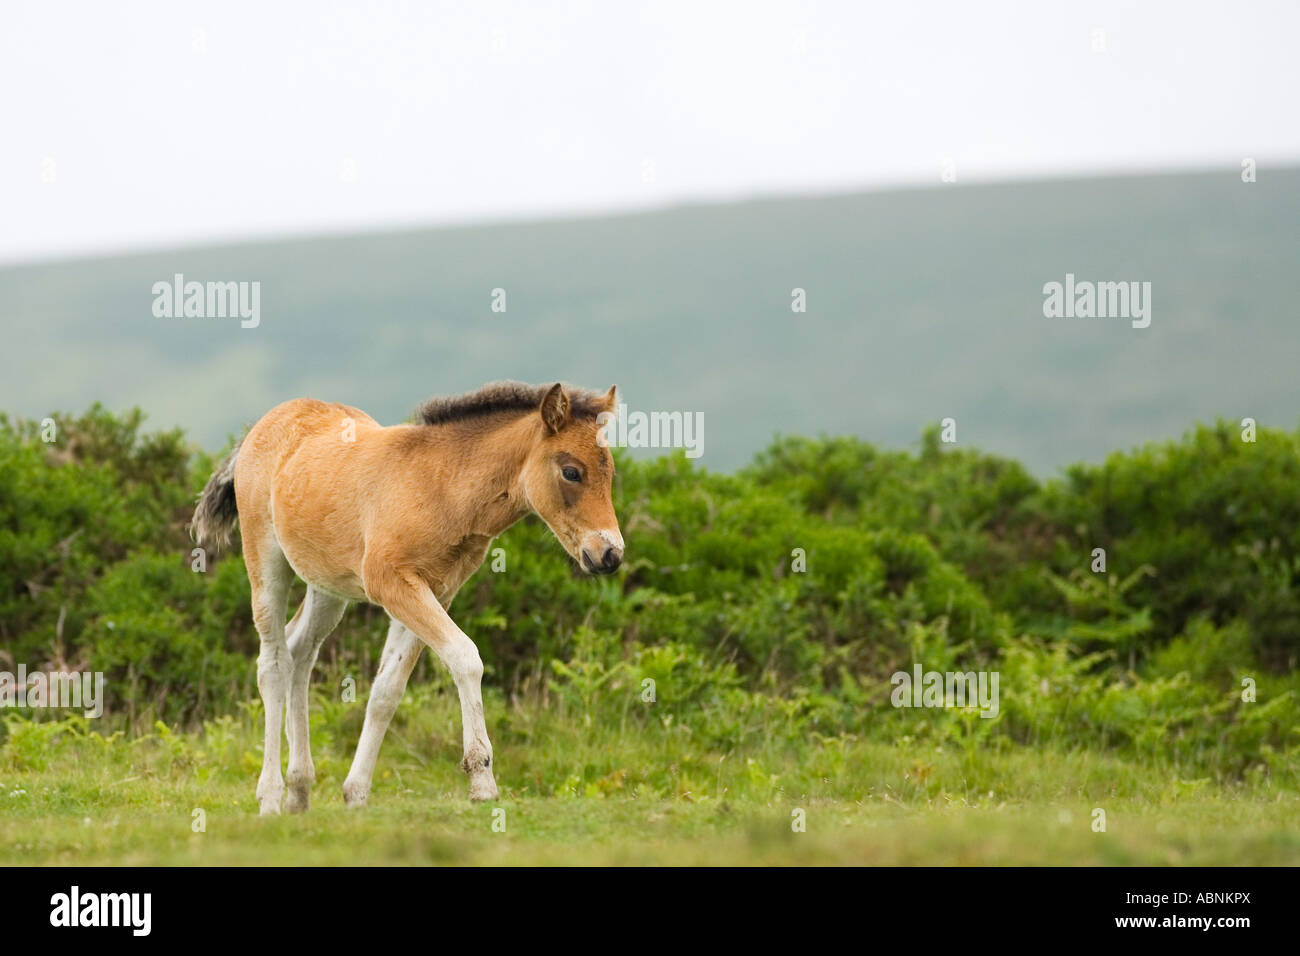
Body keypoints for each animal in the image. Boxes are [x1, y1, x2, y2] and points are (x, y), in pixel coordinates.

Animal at [190, 381, 624, 814]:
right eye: (571, 472)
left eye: (611, 474)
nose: (610, 554)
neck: (441, 486)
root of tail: (262, 426)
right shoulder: (393, 584)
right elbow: (466, 657)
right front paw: (482, 780)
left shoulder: (436, 591)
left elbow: (388, 689)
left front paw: (356, 793)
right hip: (265, 559)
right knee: (274, 663)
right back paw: (270, 797)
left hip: (327, 584)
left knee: (301, 652)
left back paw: (300, 791)